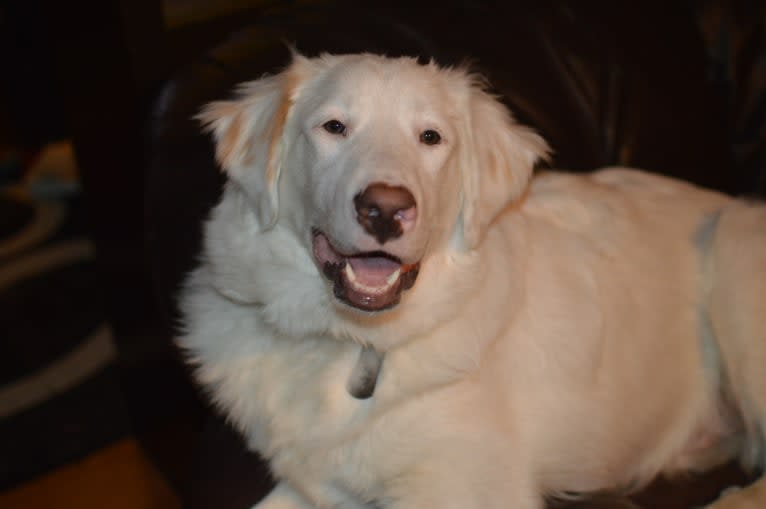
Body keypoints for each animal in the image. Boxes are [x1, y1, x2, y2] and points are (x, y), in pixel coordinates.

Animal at [182, 53, 766, 506]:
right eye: (334, 127)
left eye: (430, 137)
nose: (385, 210)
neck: (350, 340)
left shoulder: (465, 487)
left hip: (734, 241)